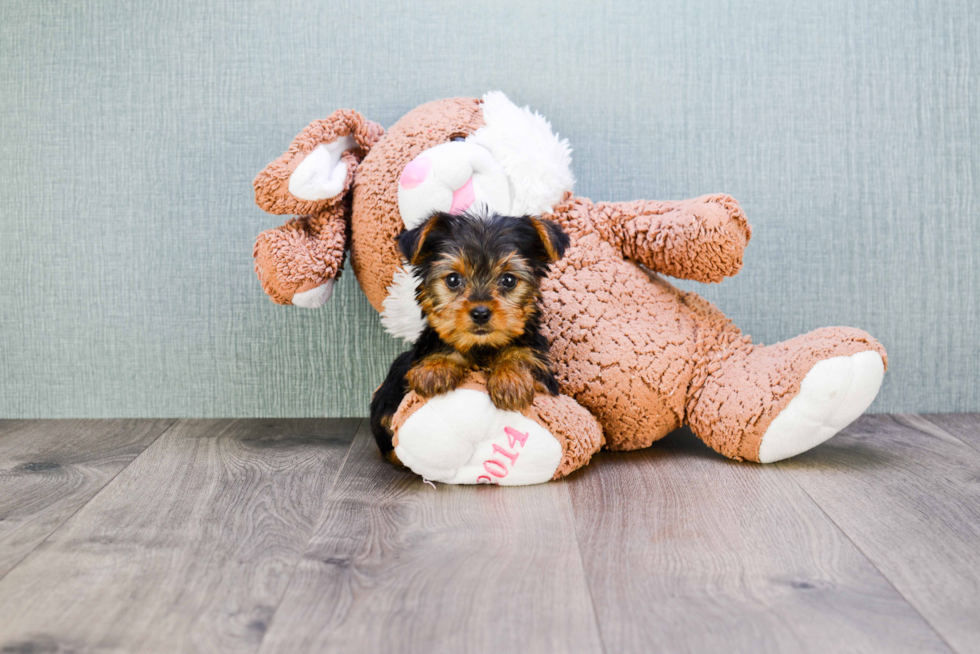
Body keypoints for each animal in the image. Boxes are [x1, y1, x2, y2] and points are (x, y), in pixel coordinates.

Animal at [370, 213, 572, 458]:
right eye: (453, 280)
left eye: (509, 280)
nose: (480, 312)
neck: (482, 346)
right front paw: (435, 369)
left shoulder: (543, 370)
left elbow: (523, 358)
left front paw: (510, 380)